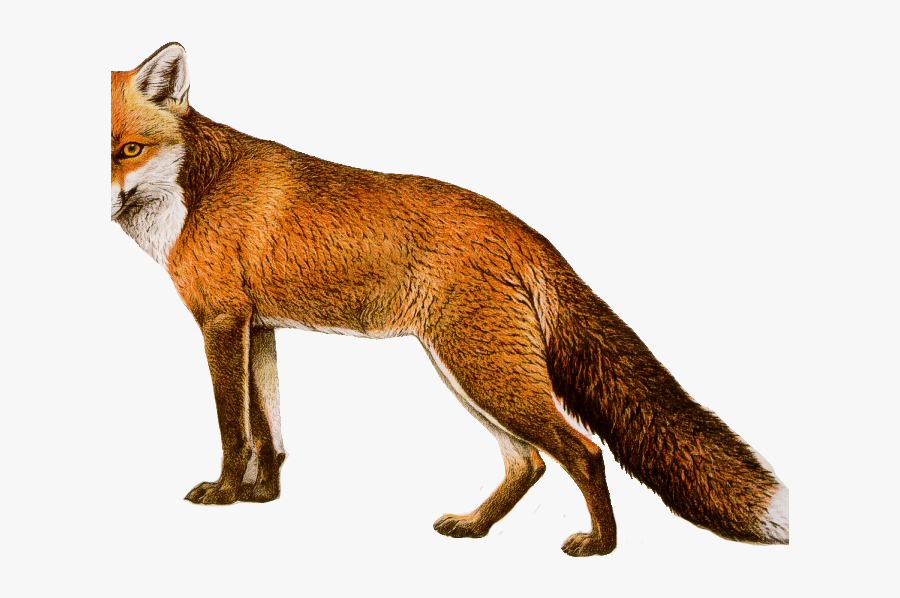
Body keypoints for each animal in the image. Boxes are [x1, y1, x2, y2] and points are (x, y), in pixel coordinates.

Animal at [111, 42, 788, 557]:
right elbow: (268, 430)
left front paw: (225, 494)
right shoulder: (258, 327)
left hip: (483, 371)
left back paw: (601, 546)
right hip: (465, 371)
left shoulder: (221, 321)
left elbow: (234, 429)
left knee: (584, 453)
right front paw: (263, 497)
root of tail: (520, 228)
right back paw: (476, 525)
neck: (193, 191)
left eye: (128, 149)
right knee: (528, 463)